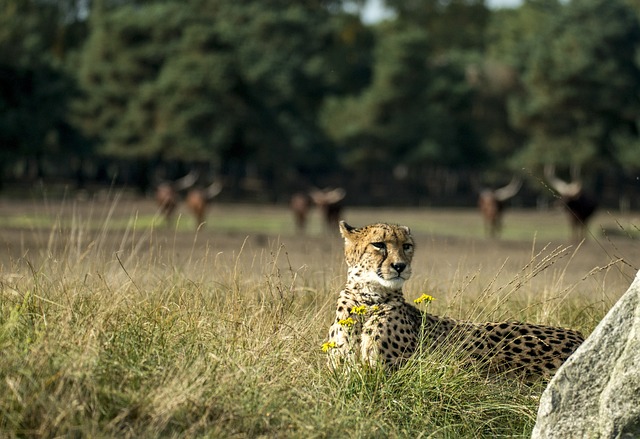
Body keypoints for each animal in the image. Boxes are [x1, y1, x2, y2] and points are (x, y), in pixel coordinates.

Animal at [324, 222, 584, 380]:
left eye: (406, 246)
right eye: (378, 245)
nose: (400, 266)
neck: (368, 300)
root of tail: (579, 335)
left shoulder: (386, 372)